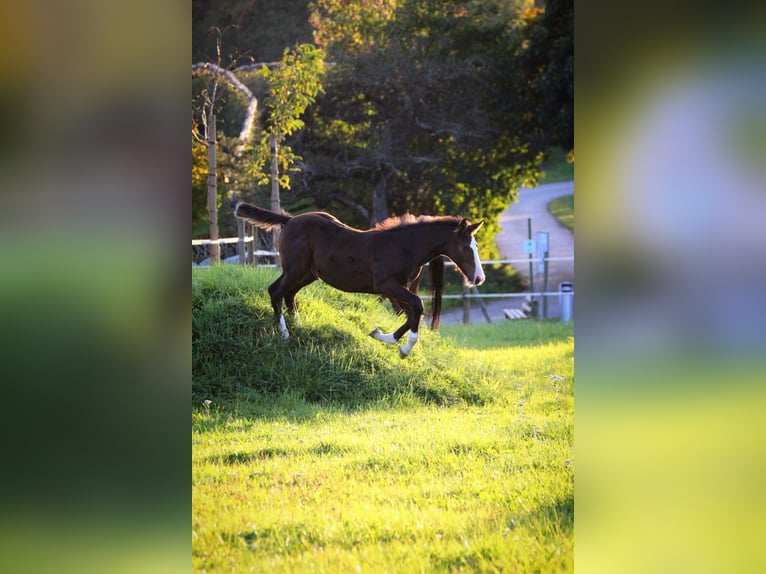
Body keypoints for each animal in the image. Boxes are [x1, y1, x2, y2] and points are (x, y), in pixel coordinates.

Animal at [234, 202, 485, 358]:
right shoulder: (387, 286)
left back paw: (299, 326)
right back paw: (285, 334)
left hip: (307, 274)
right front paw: (403, 349)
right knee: (275, 291)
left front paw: (384, 337)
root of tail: (289, 220)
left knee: (288, 295)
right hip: (295, 271)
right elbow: (418, 306)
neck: (403, 247)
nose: (479, 278)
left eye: (475, 245)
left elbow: (412, 313)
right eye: (466, 247)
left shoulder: (397, 289)